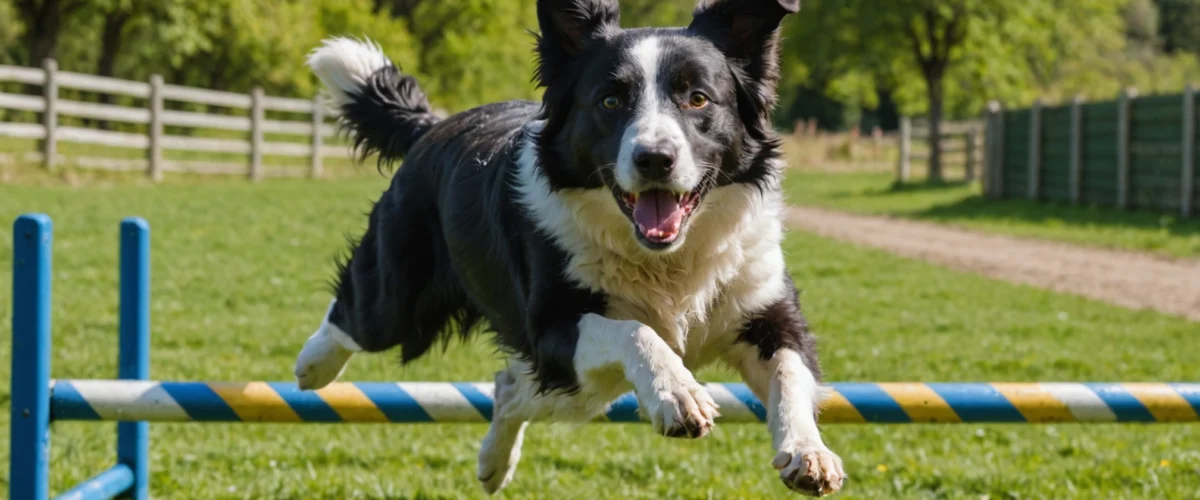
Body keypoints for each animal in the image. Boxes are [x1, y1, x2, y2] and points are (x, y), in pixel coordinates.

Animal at [295, 0, 844, 494]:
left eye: (698, 99)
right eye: (609, 102)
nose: (654, 159)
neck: (667, 260)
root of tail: (432, 126)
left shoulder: (765, 307)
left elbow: (793, 372)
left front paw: (808, 451)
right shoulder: (552, 328)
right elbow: (636, 331)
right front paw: (678, 393)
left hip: (581, 389)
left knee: (510, 389)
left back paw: (493, 465)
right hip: (403, 296)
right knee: (358, 314)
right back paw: (312, 366)